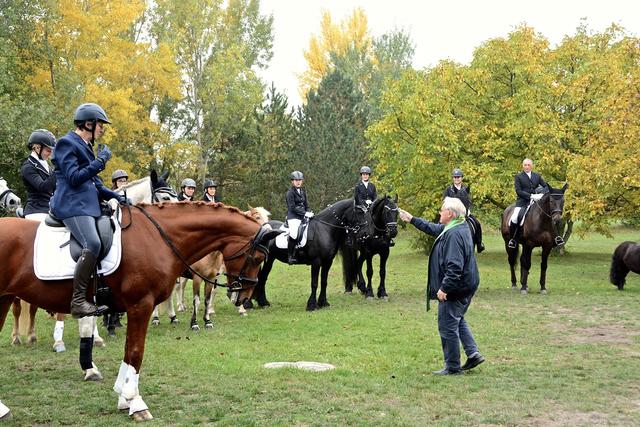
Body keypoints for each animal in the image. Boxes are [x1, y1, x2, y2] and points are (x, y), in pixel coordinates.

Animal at [0, 201, 280, 422]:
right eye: (257, 258)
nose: (243, 298)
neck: (158, 237)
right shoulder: (141, 305)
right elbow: (136, 352)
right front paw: (136, 403)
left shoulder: (136, 307)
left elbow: (128, 352)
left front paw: (123, 398)